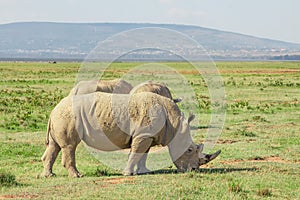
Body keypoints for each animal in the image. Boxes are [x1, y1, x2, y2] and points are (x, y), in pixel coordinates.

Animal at [41, 91, 220, 177]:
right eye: (189, 150)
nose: (194, 169)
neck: (175, 124)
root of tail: (54, 109)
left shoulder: (147, 135)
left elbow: (143, 154)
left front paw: (144, 172)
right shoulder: (143, 134)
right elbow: (135, 153)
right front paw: (128, 173)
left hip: (61, 115)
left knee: (54, 146)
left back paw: (48, 176)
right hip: (68, 115)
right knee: (69, 146)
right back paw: (77, 176)